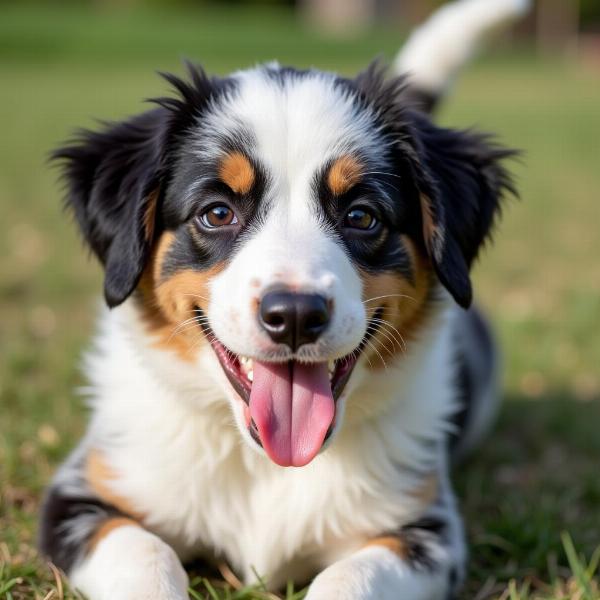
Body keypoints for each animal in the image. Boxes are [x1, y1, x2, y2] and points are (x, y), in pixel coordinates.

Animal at [38, 2, 524, 596]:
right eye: (217, 212)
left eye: (362, 215)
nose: (293, 316)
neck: (266, 465)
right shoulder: (82, 496)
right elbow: (146, 556)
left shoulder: (425, 529)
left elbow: (349, 578)